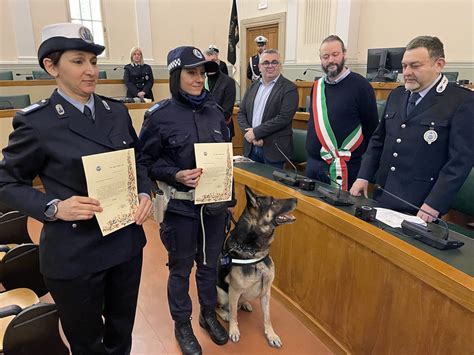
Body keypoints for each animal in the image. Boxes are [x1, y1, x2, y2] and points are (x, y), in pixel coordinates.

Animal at [216, 186, 296, 348]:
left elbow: (267, 317)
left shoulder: (266, 292)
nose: (297, 199)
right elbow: (234, 315)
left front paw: (271, 334)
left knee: (239, 303)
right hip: (221, 294)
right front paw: (233, 330)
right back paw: (225, 314)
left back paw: (245, 304)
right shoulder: (234, 291)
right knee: (219, 308)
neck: (255, 253)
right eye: (273, 202)